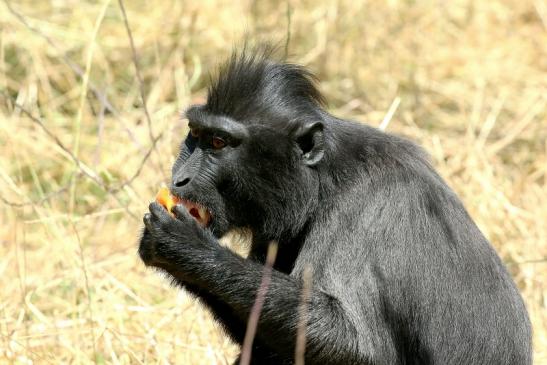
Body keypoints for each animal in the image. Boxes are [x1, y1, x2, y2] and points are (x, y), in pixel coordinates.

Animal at [139, 48, 532, 364]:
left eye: (219, 143)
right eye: (196, 135)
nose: (179, 180)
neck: (323, 178)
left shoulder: (368, 207)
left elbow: (353, 343)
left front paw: (186, 246)